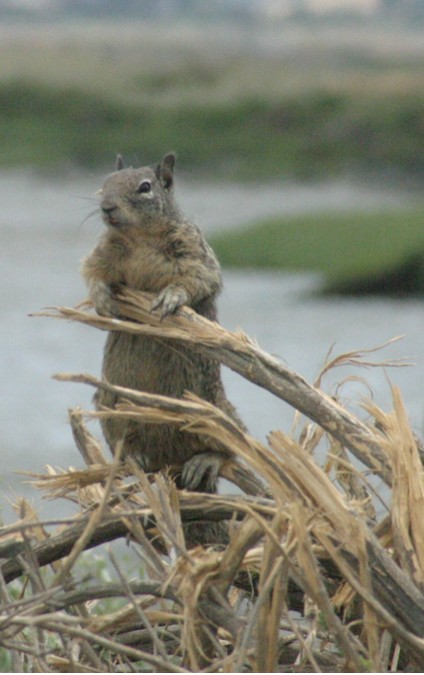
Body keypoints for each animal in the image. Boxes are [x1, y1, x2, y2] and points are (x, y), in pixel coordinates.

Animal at [81, 152, 243, 544]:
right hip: (111, 407)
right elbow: (92, 273)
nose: (107, 207)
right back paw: (133, 458)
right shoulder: (101, 254)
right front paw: (101, 299)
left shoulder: (196, 254)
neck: (139, 237)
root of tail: (172, 465)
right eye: (105, 182)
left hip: (217, 411)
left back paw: (205, 460)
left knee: (230, 451)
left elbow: (198, 279)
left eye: (145, 187)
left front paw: (171, 297)